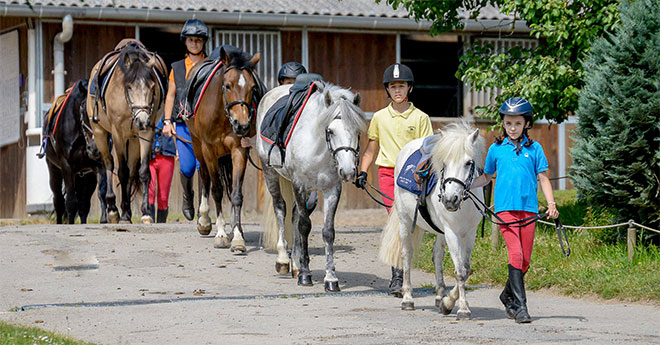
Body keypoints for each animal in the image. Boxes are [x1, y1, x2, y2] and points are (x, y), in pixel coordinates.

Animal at [42, 79, 106, 222]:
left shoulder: (97, 165)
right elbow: (70, 201)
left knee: (83, 204)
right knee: (59, 200)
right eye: (85, 112)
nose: (95, 148)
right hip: (54, 170)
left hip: (85, 175)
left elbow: (101, 194)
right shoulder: (66, 165)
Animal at [184, 45, 262, 251]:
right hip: (198, 147)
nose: (241, 124)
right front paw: (220, 234)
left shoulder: (239, 150)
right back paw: (204, 221)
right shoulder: (208, 150)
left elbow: (236, 194)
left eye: (253, 88)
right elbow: (217, 190)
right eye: (227, 85)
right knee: (204, 177)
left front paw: (237, 237)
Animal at [256, 82, 366, 292]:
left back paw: (296, 265)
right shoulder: (299, 184)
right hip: (270, 172)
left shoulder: (332, 190)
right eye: (331, 131)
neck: (319, 148)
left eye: (357, 131)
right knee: (280, 208)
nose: (348, 171)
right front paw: (306, 275)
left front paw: (331, 278)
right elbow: (305, 226)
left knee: (295, 214)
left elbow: (328, 232)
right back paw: (284, 260)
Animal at [376, 122, 484, 318]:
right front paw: (462, 308)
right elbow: (459, 272)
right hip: (405, 221)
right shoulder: (452, 233)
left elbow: (466, 269)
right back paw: (408, 299)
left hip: (441, 231)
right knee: (406, 255)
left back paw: (440, 296)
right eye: (444, 163)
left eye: (468, 163)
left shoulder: (469, 234)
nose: (450, 200)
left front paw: (448, 302)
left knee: (437, 254)